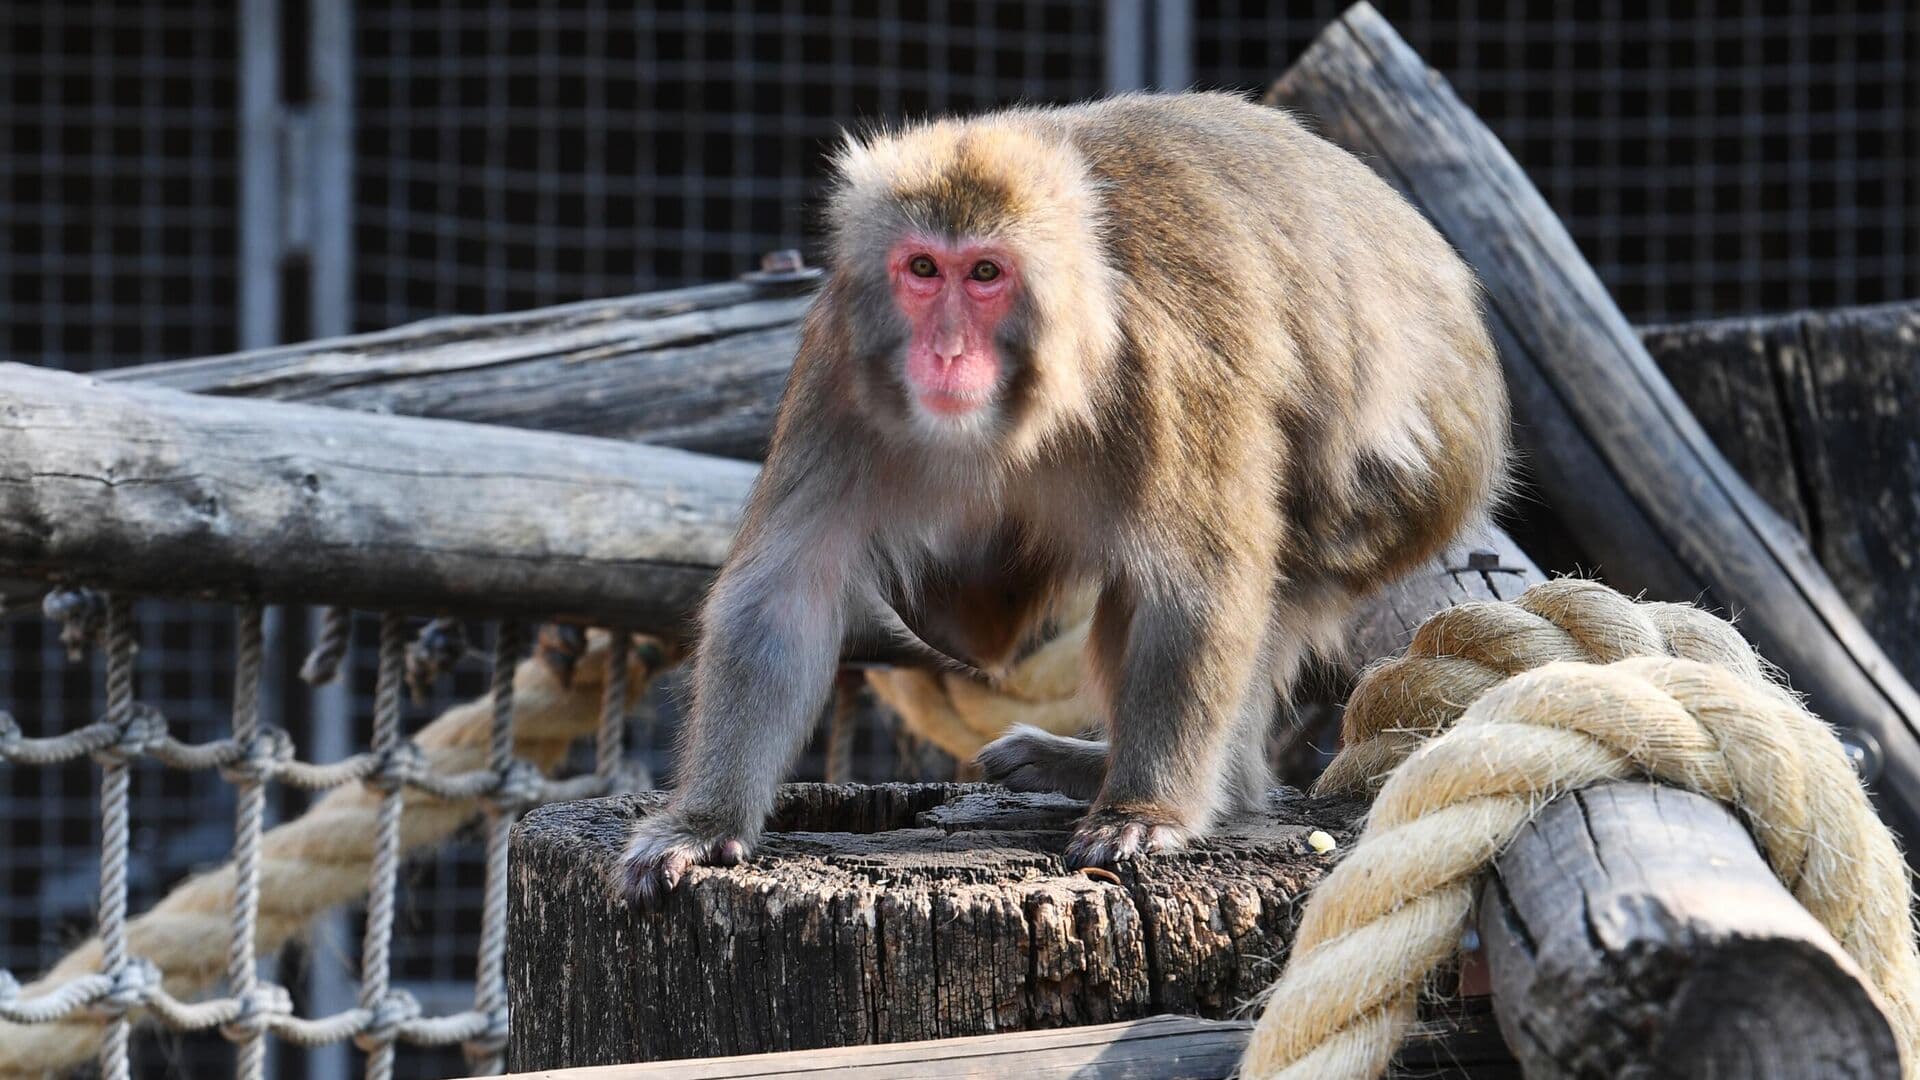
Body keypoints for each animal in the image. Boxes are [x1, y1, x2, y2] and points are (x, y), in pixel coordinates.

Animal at [621, 91, 1509, 902]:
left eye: (986, 273)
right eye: (922, 269)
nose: (945, 352)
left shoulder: (1164, 372)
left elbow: (1196, 587)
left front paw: (1146, 810)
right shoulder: (839, 366)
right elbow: (784, 593)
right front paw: (702, 825)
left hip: (1398, 490)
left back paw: (1176, 783)